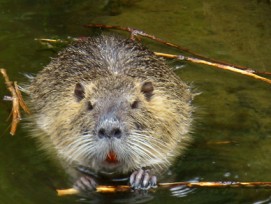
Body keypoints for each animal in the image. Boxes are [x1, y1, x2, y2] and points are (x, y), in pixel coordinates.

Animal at [27, 34, 193, 191]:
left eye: (135, 103)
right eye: (89, 105)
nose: (109, 129)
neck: (112, 75)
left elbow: (166, 158)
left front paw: (142, 177)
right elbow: (61, 159)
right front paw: (84, 181)